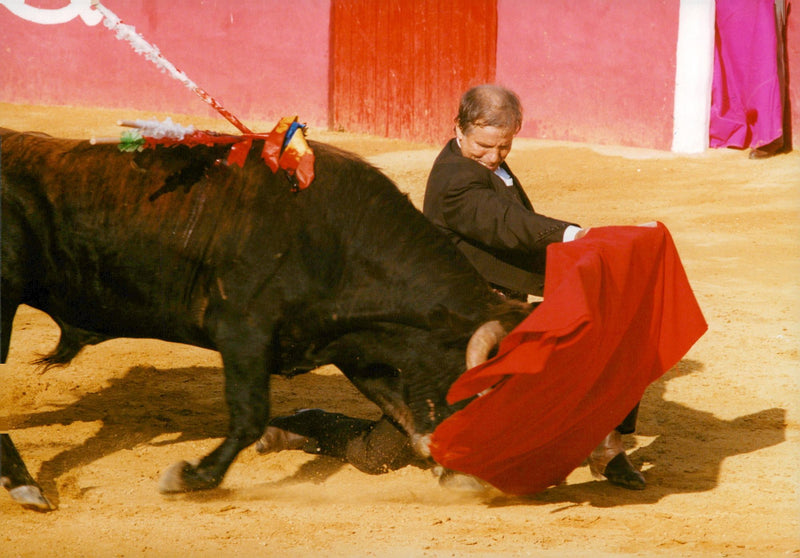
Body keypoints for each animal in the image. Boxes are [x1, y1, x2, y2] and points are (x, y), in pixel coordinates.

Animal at [3, 129, 536, 510]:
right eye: (496, 386)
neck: (338, 241)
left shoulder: (353, 348)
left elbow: (406, 417)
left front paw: (455, 473)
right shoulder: (243, 332)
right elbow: (248, 415)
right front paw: (190, 477)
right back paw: (26, 487)